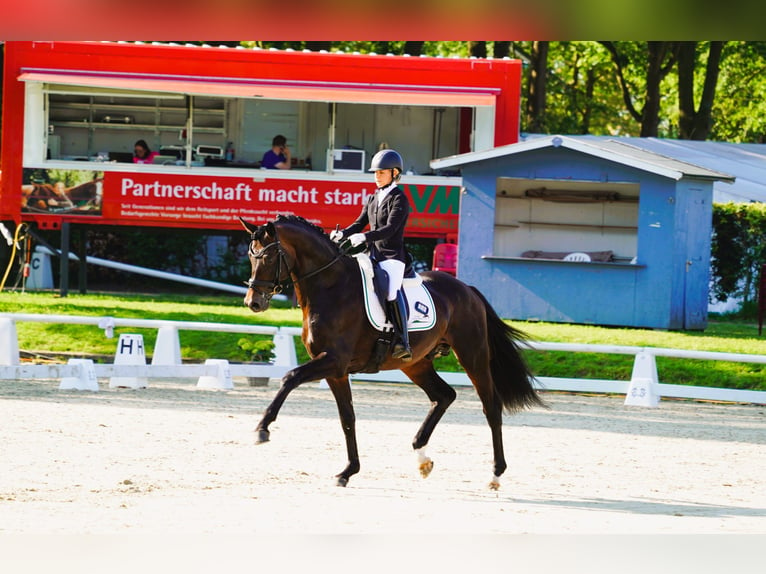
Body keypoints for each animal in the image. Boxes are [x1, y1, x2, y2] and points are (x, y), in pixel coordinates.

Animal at [240, 215, 544, 490]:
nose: (253, 303)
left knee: (490, 406)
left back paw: (495, 474)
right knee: (444, 395)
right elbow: (347, 418)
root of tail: (467, 289)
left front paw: (262, 429)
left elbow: (289, 377)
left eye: (268, 258)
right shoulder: (336, 371)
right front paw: (348, 471)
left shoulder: (333, 361)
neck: (331, 287)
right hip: (415, 364)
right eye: (251, 257)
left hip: (473, 355)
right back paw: (422, 457)